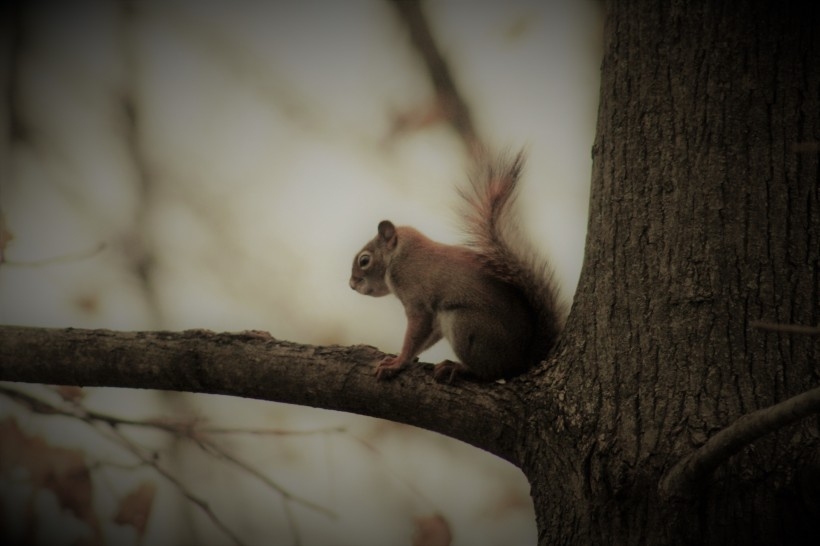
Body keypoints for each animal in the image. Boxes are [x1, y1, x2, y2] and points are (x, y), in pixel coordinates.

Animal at [346, 149, 564, 378]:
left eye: (364, 260)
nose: (351, 284)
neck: (399, 255)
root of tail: (522, 360)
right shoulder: (433, 318)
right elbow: (426, 337)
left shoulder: (417, 299)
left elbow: (415, 333)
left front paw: (397, 363)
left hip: (465, 323)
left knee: (490, 371)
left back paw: (458, 367)